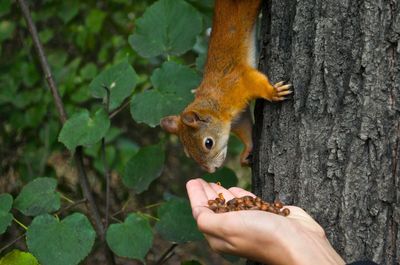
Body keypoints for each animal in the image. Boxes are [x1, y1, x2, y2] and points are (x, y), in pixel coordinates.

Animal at [159, 0, 290, 172]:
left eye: (208, 143)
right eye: (188, 153)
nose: (211, 170)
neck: (217, 104)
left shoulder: (238, 81)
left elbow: (255, 81)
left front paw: (273, 92)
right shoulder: (239, 118)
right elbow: (245, 129)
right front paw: (246, 153)